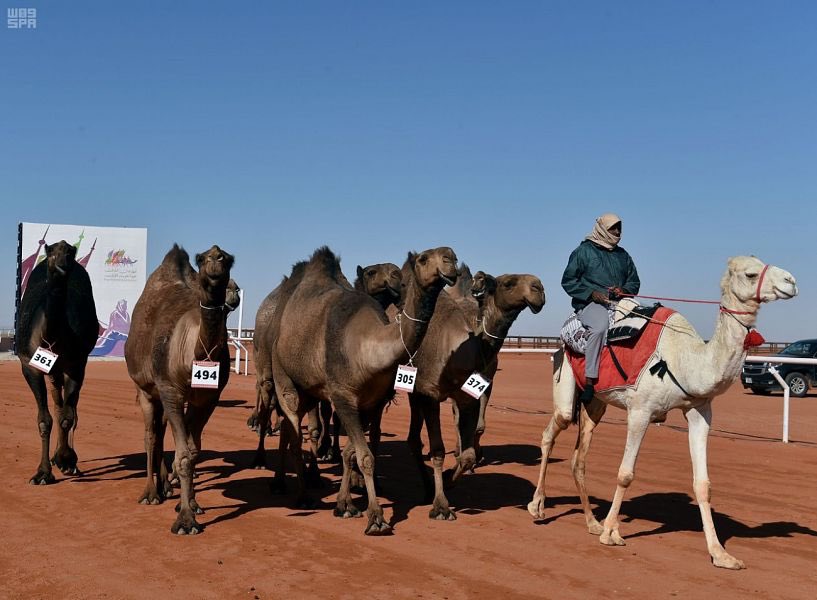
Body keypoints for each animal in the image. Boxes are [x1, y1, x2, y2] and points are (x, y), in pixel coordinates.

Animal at [15, 241, 98, 486]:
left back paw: (68, 460)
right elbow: (45, 420)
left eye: (70, 252)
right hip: (52, 372)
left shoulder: (76, 364)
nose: (62, 265)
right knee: (57, 402)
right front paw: (42, 473)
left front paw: (66, 460)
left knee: (69, 409)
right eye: (51, 252)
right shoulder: (29, 365)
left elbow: (67, 418)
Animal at [124, 244, 234, 536]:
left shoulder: (208, 398)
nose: (216, 259)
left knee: (161, 432)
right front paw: (185, 521)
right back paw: (151, 493)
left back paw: (165, 486)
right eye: (202, 258)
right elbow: (183, 455)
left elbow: (193, 452)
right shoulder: (170, 390)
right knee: (150, 435)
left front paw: (192, 505)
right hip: (146, 389)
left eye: (229, 258)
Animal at [270, 244, 456, 536]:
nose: (450, 260)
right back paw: (301, 495)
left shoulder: (372, 403)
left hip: (310, 391)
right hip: (284, 378)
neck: (366, 348)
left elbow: (352, 453)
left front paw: (345, 505)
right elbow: (365, 457)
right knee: (293, 432)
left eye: (453, 255)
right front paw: (376, 518)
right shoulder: (342, 397)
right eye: (424, 258)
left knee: (294, 431)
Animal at [406, 270, 544, 516]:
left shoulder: (479, 387)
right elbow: (438, 449)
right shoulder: (431, 394)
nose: (539, 288)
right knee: (415, 438)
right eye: (508, 283)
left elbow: (471, 445)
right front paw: (440, 504)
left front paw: (452, 475)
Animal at [524, 255, 800, 568]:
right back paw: (538, 507)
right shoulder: (640, 411)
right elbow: (625, 473)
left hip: (595, 403)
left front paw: (721, 554)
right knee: (551, 431)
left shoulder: (699, 411)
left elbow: (703, 484)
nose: (791, 281)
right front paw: (611, 533)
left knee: (578, 458)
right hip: (565, 380)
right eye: (751, 274)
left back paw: (592, 522)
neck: (684, 360)